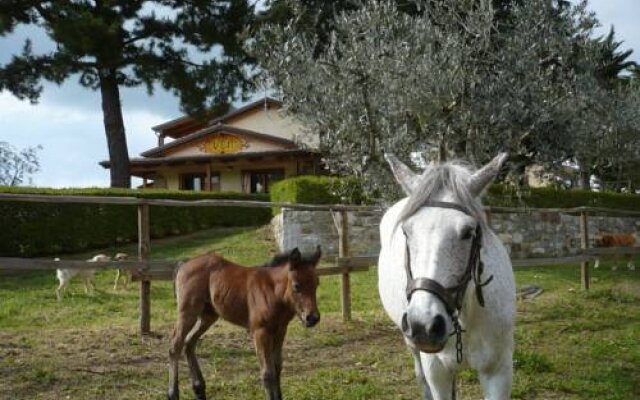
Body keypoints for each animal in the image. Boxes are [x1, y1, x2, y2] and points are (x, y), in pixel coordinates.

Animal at [168, 247, 322, 400]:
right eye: (297, 286)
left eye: (316, 284)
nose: (312, 318)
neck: (273, 292)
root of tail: (184, 264)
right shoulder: (260, 332)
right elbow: (267, 373)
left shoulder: (280, 330)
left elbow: (277, 367)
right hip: (188, 312)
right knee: (175, 345)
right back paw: (173, 393)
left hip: (208, 316)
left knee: (189, 343)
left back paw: (199, 389)